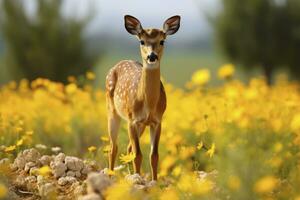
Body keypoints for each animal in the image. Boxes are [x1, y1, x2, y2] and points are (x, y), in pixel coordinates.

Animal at [105, 14, 180, 180]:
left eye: (162, 40)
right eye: (142, 41)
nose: (152, 56)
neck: (149, 104)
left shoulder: (157, 121)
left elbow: (154, 155)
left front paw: (153, 181)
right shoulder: (132, 120)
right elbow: (138, 155)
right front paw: (138, 180)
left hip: (142, 125)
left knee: (127, 148)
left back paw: (128, 174)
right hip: (112, 110)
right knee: (114, 147)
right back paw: (111, 175)